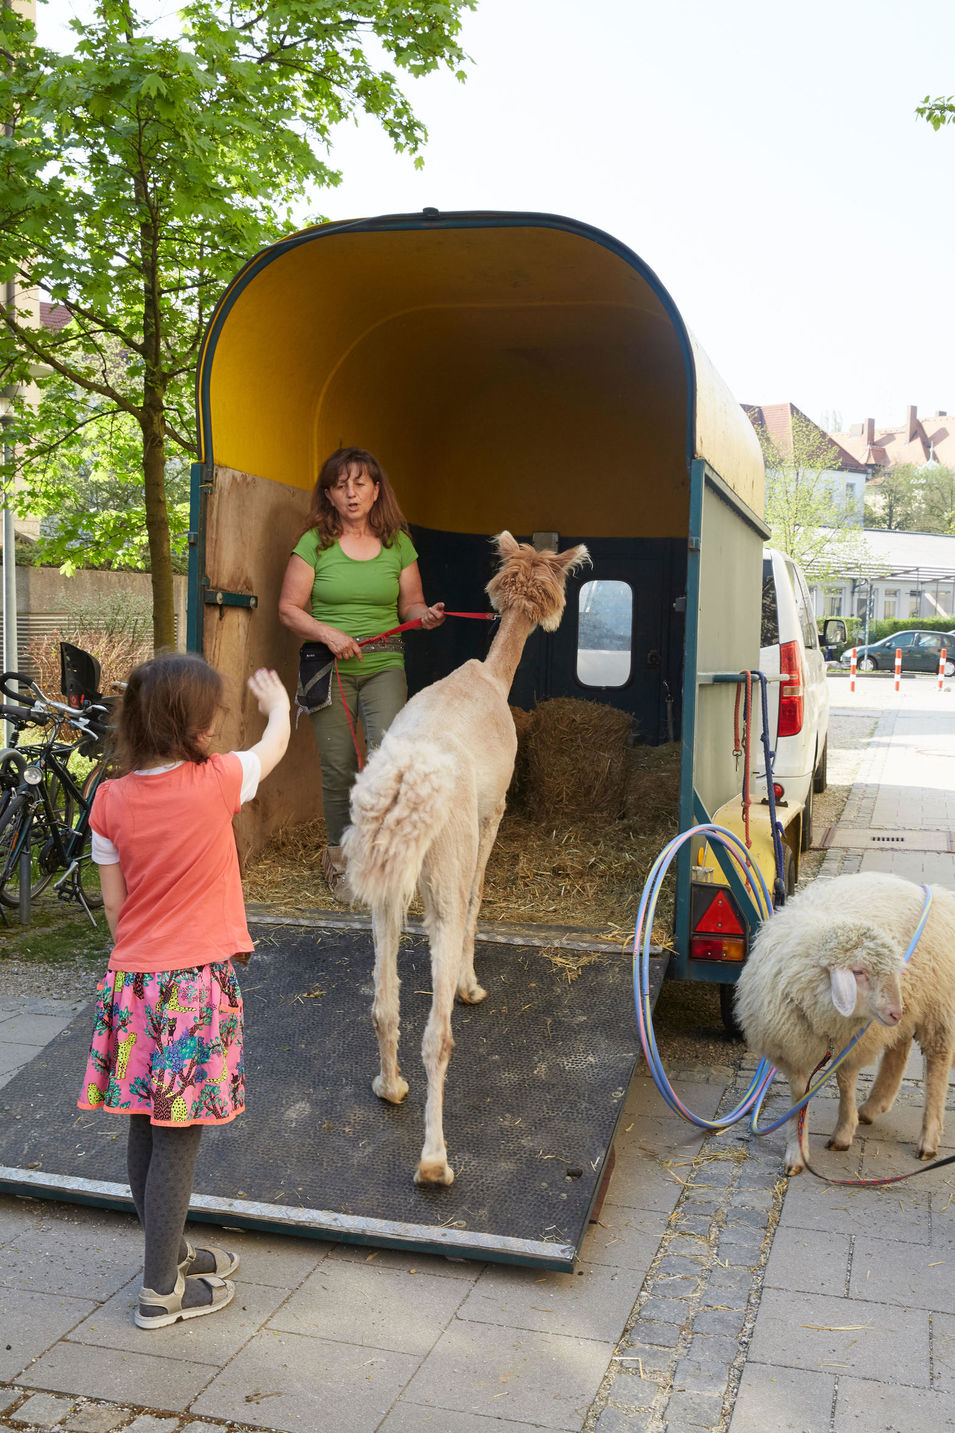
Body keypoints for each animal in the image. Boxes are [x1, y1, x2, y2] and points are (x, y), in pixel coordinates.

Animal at [728, 865, 952, 1169]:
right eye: (858, 972)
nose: (895, 1011)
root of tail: (936, 894)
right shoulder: (792, 1048)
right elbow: (800, 1094)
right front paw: (797, 1151)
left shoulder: (853, 1041)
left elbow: (845, 1081)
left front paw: (844, 1132)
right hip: (913, 1005)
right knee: (900, 1047)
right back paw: (874, 1106)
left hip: (936, 1007)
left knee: (937, 1064)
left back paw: (928, 1139)